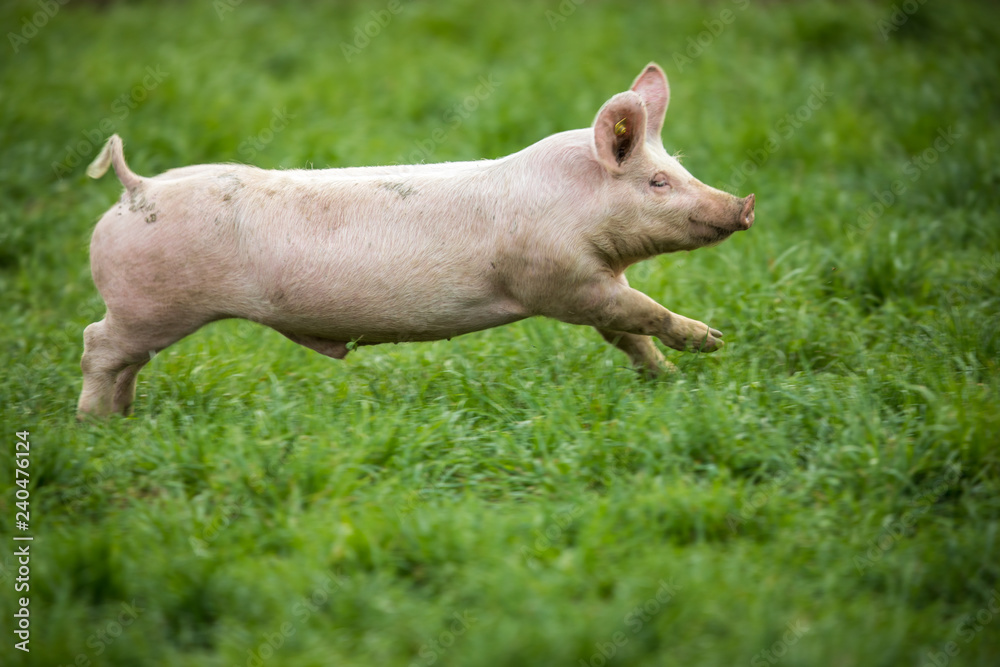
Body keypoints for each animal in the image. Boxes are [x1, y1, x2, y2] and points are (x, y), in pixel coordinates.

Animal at [78, 62, 755, 418]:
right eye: (657, 181)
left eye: (679, 166)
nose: (744, 205)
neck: (573, 204)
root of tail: (135, 187)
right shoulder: (559, 280)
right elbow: (642, 311)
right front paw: (714, 342)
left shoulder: (591, 283)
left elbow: (626, 332)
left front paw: (666, 378)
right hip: (150, 306)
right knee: (96, 344)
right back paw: (93, 424)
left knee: (125, 360)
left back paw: (126, 416)